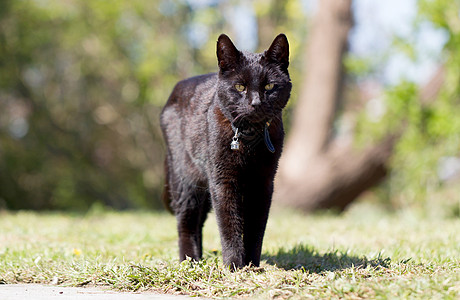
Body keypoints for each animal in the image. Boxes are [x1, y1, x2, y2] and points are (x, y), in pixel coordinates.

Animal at [162, 34, 292, 268]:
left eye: (269, 86)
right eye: (240, 86)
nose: (255, 102)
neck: (250, 139)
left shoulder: (263, 182)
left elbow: (256, 228)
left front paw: (251, 265)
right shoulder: (223, 181)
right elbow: (229, 225)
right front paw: (233, 265)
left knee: (198, 223)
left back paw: (199, 258)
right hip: (185, 181)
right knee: (186, 223)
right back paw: (189, 260)